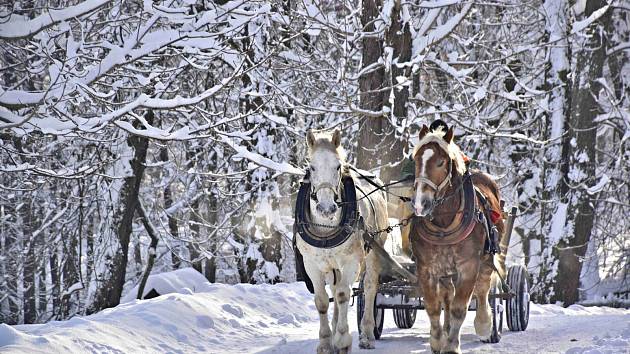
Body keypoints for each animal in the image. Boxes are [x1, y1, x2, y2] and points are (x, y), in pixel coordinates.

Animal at [296, 129, 390, 352]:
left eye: (338, 166)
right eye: (311, 167)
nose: (326, 208)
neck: (326, 227)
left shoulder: (351, 262)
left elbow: (342, 295)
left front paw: (342, 340)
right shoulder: (312, 264)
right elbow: (322, 300)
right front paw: (325, 342)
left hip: (374, 252)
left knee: (369, 287)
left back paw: (367, 334)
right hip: (332, 265)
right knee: (335, 287)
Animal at [410, 123, 508, 352]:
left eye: (441, 162)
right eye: (416, 159)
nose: (420, 204)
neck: (444, 224)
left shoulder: (468, 266)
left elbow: (459, 308)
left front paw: (452, 346)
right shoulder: (426, 268)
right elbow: (434, 307)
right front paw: (437, 341)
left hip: (487, 258)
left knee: (483, 288)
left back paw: (484, 323)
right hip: (446, 271)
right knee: (447, 295)